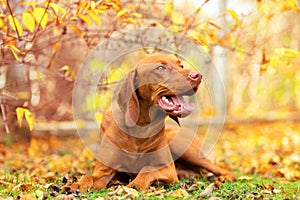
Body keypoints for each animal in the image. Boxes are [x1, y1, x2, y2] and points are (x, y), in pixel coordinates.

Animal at [69, 54, 236, 191]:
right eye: (161, 68)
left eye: (181, 66)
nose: (198, 75)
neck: (140, 128)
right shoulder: (104, 170)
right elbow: (88, 176)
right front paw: (75, 185)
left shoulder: (167, 168)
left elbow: (147, 169)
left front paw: (135, 185)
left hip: (184, 146)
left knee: (223, 170)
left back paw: (223, 178)